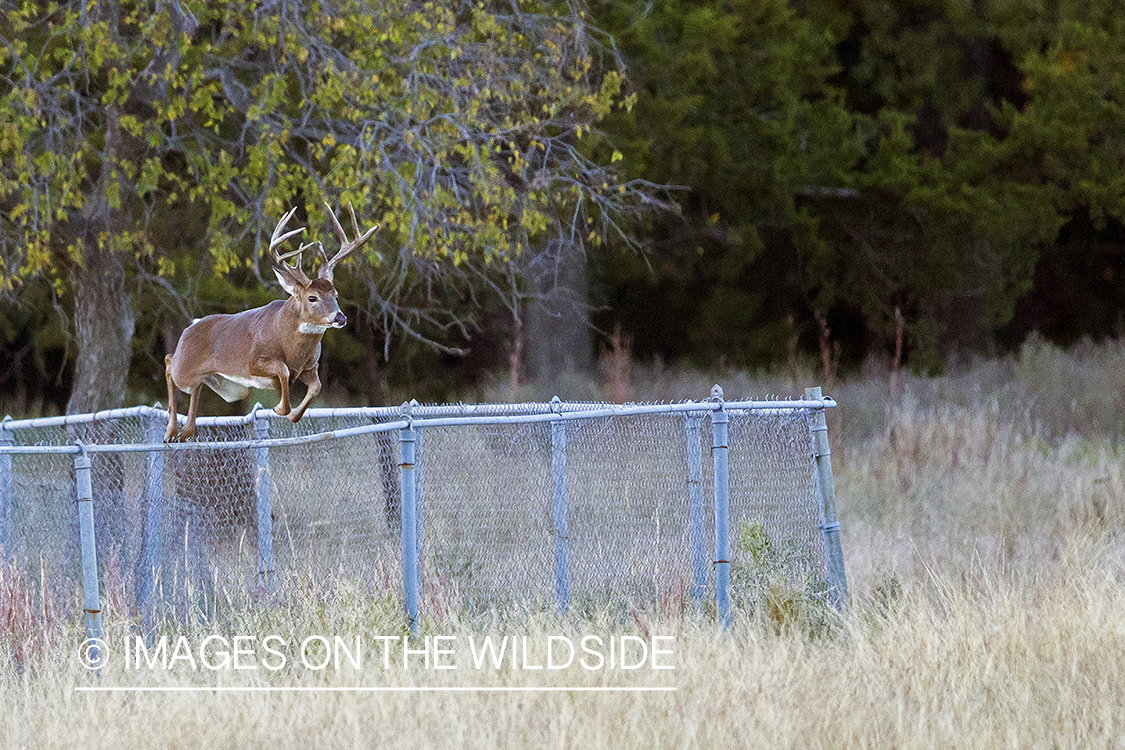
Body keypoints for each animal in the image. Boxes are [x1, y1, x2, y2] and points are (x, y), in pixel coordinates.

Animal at [163, 202, 380, 443]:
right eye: (312, 297)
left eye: (336, 294)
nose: (340, 318)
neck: (290, 347)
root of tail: (190, 326)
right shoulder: (254, 360)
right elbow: (283, 371)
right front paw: (280, 408)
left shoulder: (310, 366)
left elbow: (316, 387)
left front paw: (293, 414)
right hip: (186, 367)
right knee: (169, 362)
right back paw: (170, 430)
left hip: (232, 389)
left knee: (195, 385)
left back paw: (184, 432)